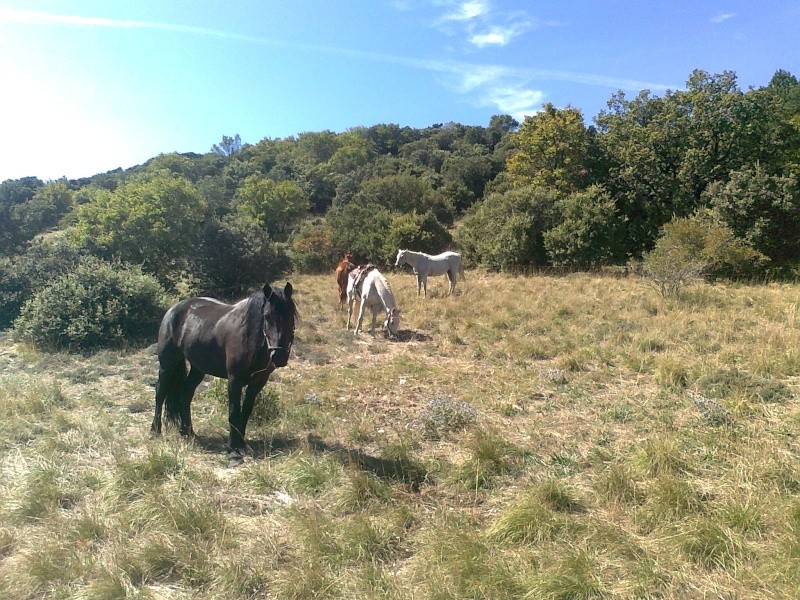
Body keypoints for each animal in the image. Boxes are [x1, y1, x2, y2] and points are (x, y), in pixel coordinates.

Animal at [151, 282, 296, 464]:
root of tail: (173, 309)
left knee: (185, 394)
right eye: (267, 316)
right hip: (167, 364)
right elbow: (234, 412)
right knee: (160, 393)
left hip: (198, 369)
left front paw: (242, 444)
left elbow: (245, 412)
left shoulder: (258, 382)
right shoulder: (234, 380)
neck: (250, 338)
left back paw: (188, 432)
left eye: (290, 315)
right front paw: (233, 450)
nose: (279, 356)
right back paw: (155, 431)